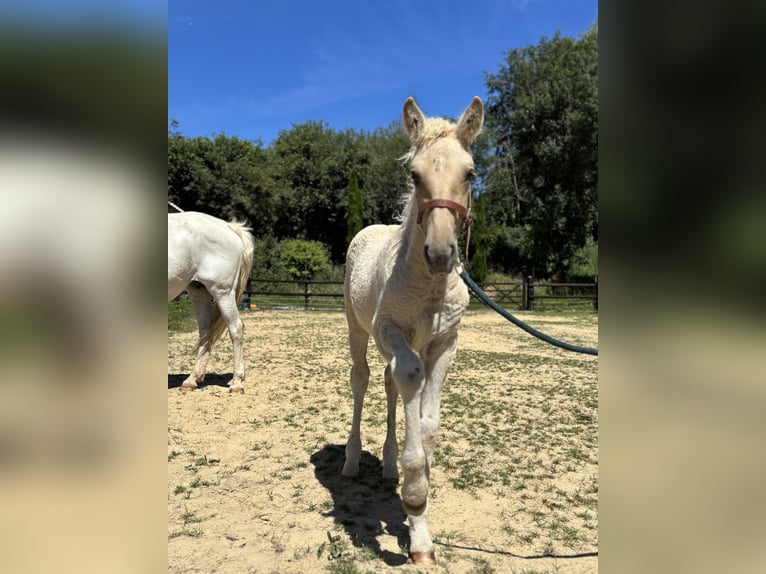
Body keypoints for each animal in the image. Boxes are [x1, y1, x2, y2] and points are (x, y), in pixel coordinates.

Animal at [168, 211, 255, 393]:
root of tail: (229, 227)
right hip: (198, 290)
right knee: (205, 331)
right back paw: (191, 380)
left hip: (223, 292)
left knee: (236, 328)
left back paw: (237, 383)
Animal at [341, 96, 484, 563]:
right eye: (414, 175)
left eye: (470, 172)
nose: (440, 254)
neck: (429, 285)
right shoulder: (390, 331)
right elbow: (409, 378)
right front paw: (416, 497)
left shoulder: (444, 344)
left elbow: (427, 425)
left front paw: (419, 527)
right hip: (357, 329)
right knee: (364, 380)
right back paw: (351, 464)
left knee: (387, 386)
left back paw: (388, 468)